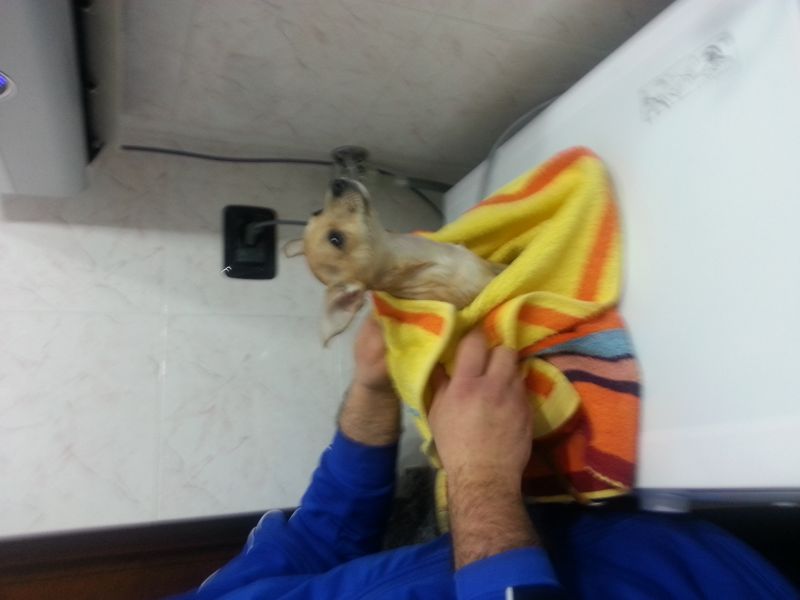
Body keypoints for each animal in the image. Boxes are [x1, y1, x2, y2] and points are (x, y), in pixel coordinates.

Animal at [283, 178, 505, 345]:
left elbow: (498, 265)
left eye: (317, 211)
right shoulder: (483, 275)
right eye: (336, 239)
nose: (336, 182)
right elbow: (502, 271)